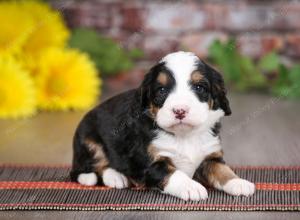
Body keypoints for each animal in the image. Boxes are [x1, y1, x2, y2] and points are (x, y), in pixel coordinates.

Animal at [71, 50, 255, 200]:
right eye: (161, 90)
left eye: (199, 87)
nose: (180, 110)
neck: (184, 136)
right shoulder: (150, 163)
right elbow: (175, 173)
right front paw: (192, 187)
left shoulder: (210, 156)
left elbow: (223, 170)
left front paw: (238, 182)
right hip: (88, 138)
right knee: (91, 166)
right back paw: (112, 177)